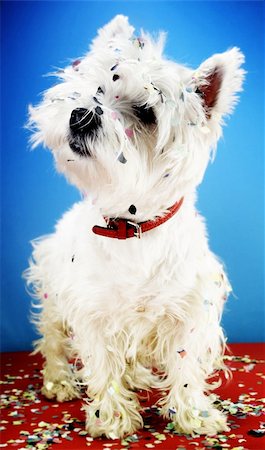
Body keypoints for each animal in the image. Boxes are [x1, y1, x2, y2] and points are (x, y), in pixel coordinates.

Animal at [24, 14, 243, 440]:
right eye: (96, 89)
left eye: (145, 114)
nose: (81, 115)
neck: (131, 226)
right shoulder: (93, 309)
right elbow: (103, 362)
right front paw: (112, 418)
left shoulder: (190, 310)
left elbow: (186, 364)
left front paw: (194, 415)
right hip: (52, 292)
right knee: (53, 338)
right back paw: (59, 380)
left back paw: (139, 376)